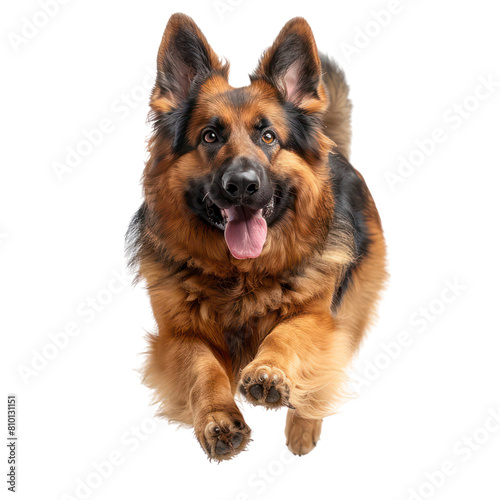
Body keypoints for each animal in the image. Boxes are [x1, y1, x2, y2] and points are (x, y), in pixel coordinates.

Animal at [128, 13, 386, 460]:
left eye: (268, 137)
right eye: (210, 136)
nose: (243, 186)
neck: (241, 276)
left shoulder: (316, 317)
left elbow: (287, 336)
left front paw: (269, 372)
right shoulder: (178, 335)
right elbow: (203, 369)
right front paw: (217, 417)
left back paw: (303, 428)